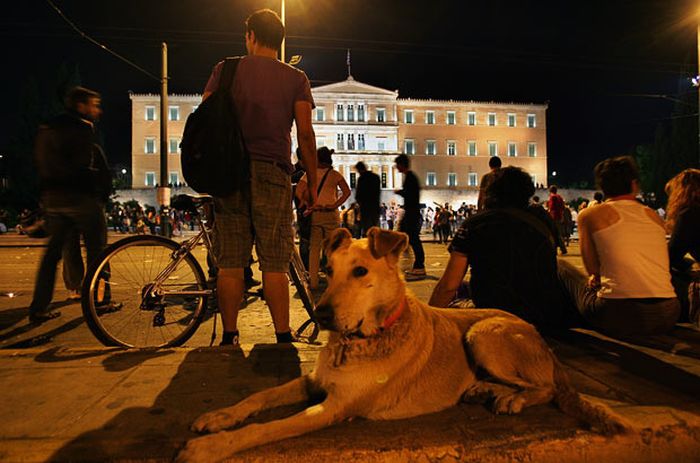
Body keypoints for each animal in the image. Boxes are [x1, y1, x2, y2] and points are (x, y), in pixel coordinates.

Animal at [176, 227, 636, 462]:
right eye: (328, 269)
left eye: (360, 271)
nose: (320, 316)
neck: (363, 339)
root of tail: (536, 333)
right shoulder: (314, 381)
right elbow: (259, 398)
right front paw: (218, 417)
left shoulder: (335, 407)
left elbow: (268, 427)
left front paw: (210, 446)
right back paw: (484, 389)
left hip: (484, 334)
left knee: (545, 388)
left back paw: (512, 398)